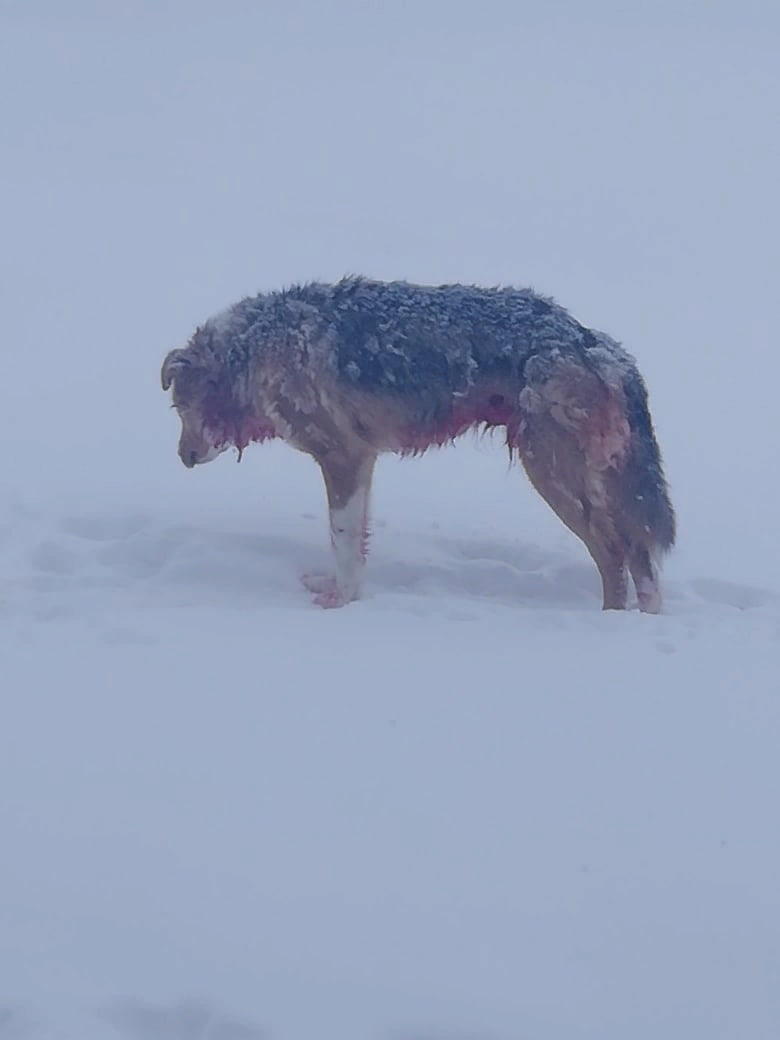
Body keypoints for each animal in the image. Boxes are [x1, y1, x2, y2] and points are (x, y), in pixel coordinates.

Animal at [162, 280, 673, 611]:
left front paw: (338, 603)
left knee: (615, 553)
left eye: (181, 407)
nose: (184, 459)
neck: (256, 347)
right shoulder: (361, 463)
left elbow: (342, 540)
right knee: (638, 556)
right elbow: (354, 544)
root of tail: (594, 342)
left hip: (552, 473)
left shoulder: (343, 458)